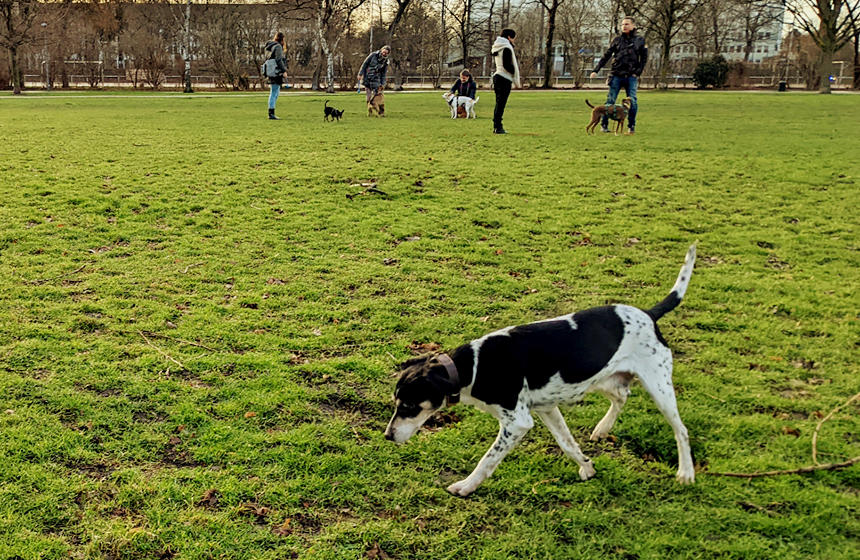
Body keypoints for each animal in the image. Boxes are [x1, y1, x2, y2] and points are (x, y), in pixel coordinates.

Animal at [386, 243, 696, 496]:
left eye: (409, 406)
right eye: (396, 404)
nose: (387, 436)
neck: (473, 366)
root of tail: (649, 314)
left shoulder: (517, 422)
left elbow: (487, 459)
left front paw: (466, 486)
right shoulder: (547, 408)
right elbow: (568, 443)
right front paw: (587, 467)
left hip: (659, 388)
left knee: (681, 430)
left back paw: (686, 473)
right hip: (603, 379)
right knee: (622, 396)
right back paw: (602, 429)